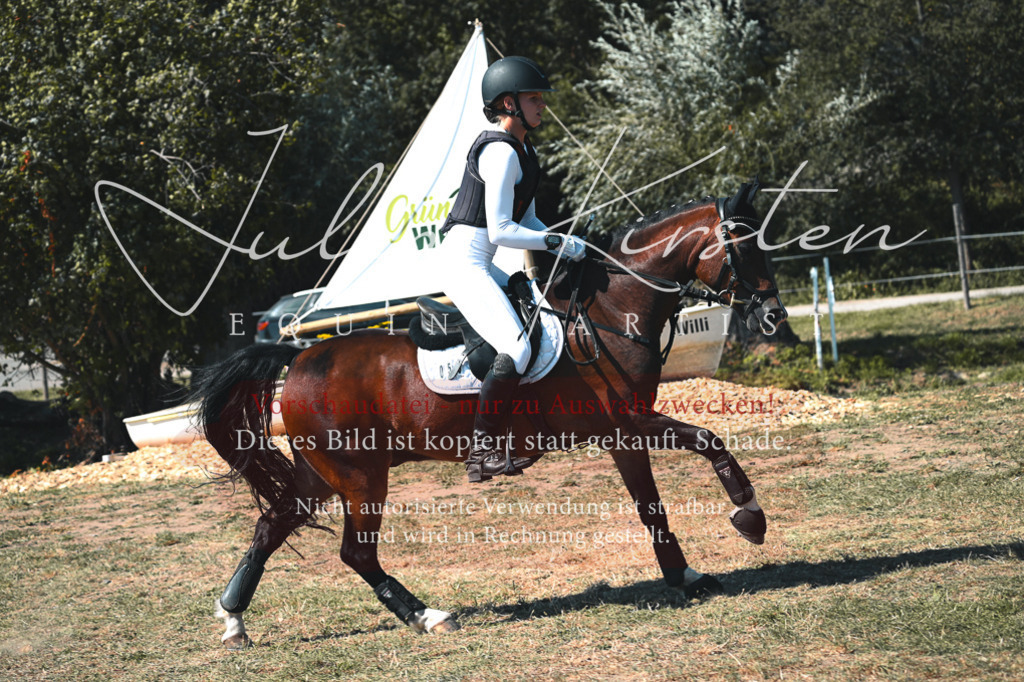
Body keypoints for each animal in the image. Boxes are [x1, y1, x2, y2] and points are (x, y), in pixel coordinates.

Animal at [193, 181, 787, 648]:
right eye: (745, 248)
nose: (775, 317)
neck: (611, 312)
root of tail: (298, 357)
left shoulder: (625, 434)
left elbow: (654, 506)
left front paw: (685, 574)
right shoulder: (627, 423)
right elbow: (707, 441)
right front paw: (749, 518)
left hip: (320, 474)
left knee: (270, 527)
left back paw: (233, 622)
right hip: (361, 477)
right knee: (355, 553)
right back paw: (427, 615)